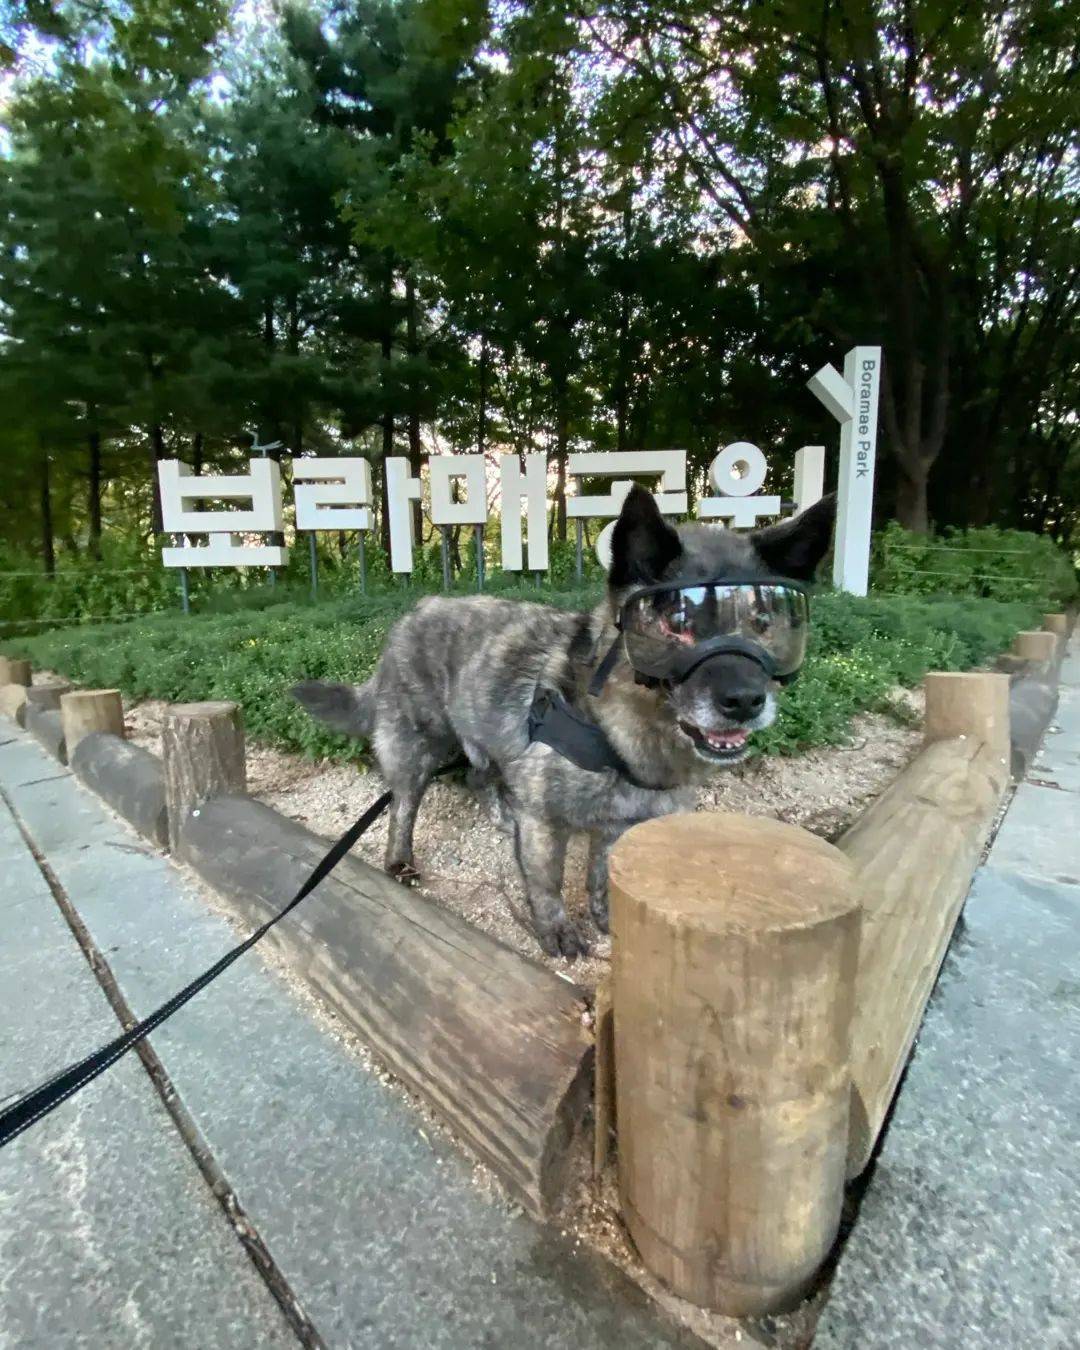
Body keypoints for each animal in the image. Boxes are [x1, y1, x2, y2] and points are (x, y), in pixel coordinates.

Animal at [292, 486, 837, 961]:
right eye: (676, 622)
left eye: (765, 623)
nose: (745, 700)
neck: (613, 732)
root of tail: (410, 615)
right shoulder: (545, 823)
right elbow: (547, 881)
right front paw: (554, 928)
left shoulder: (619, 826)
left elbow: (602, 877)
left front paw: (607, 918)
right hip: (416, 750)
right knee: (403, 806)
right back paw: (400, 860)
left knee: (479, 776)